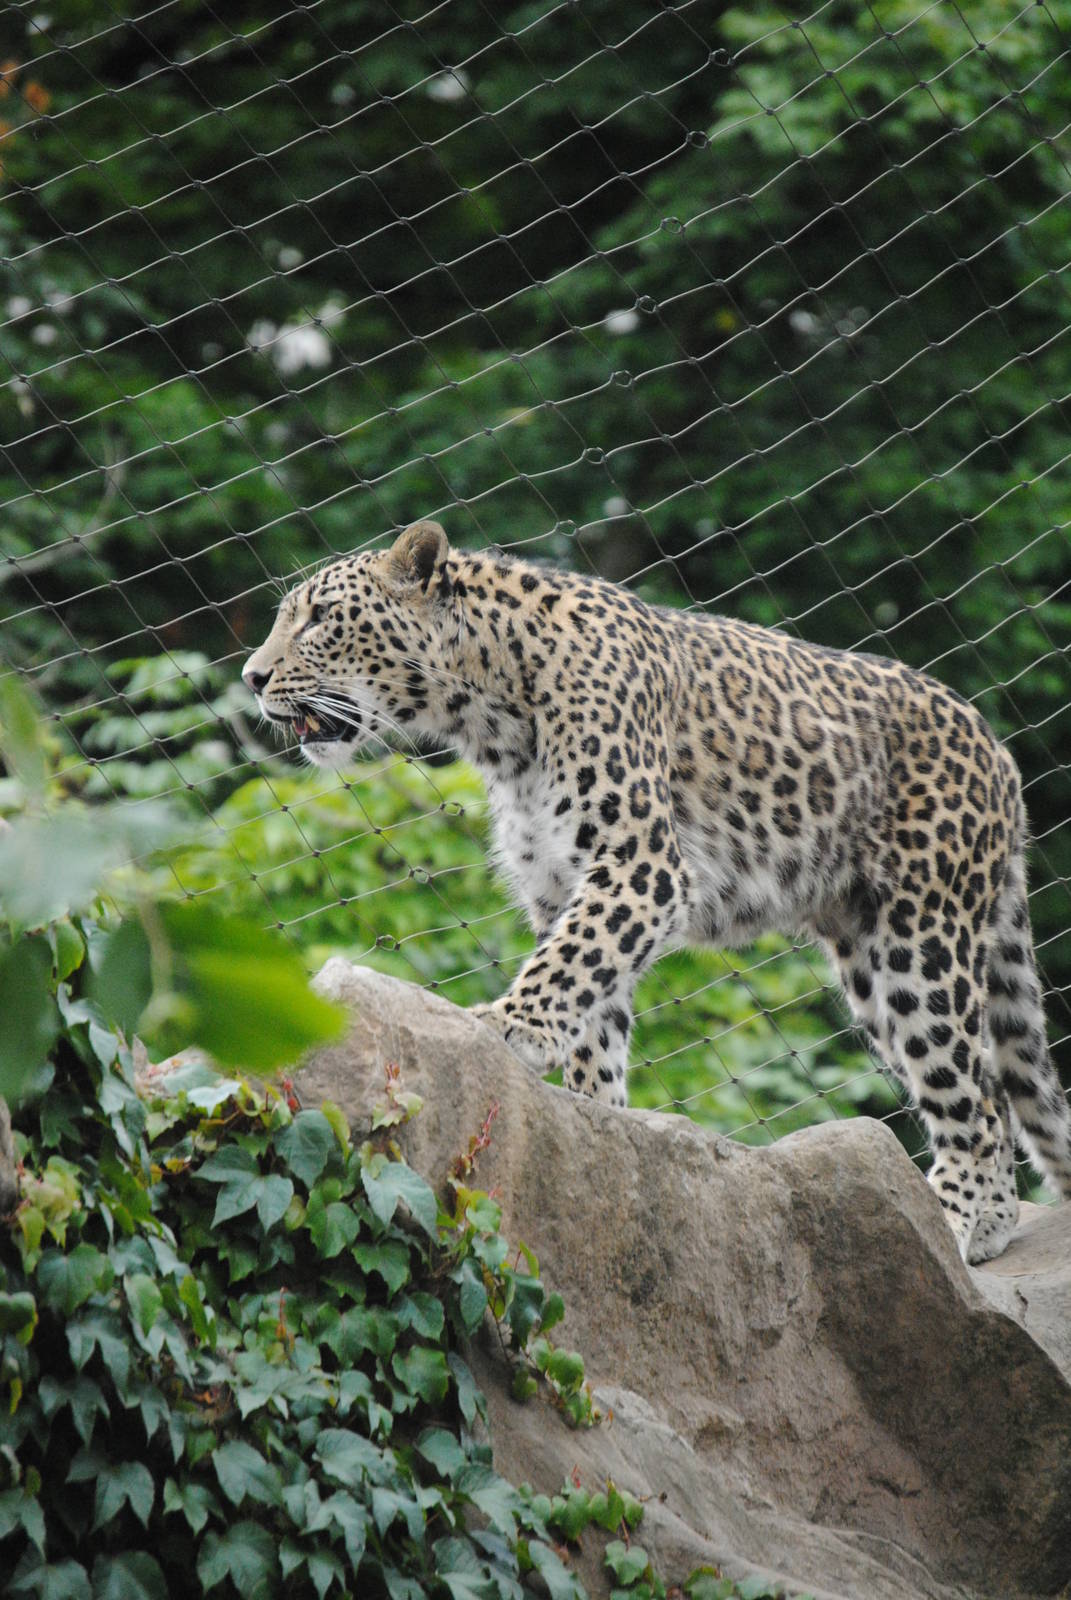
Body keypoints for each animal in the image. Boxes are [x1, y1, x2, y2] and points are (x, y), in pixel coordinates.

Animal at [243, 519, 1071, 1265]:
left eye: (318, 617)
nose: (251, 677)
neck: (489, 714)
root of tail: (996, 750)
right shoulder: (561, 885)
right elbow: (592, 1008)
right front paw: (600, 1133)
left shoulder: (641, 865)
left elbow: (566, 964)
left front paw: (505, 1026)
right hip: (866, 959)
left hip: (920, 938)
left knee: (976, 1096)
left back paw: (961, 1224)